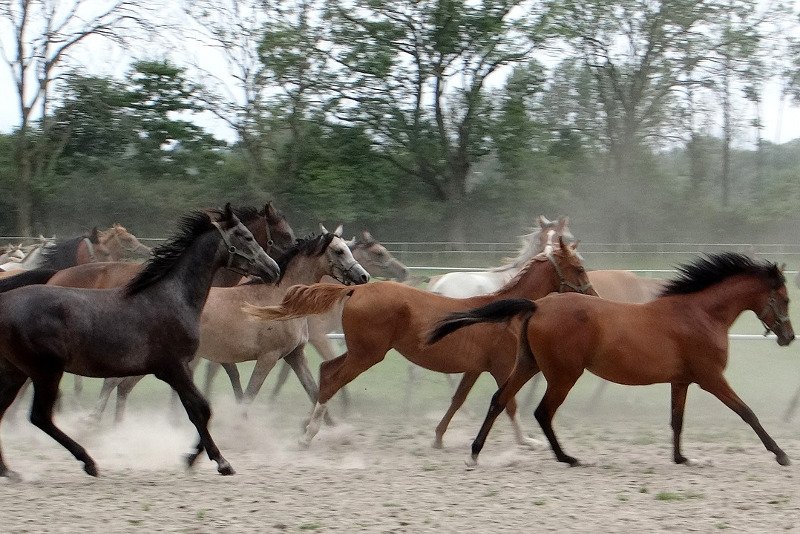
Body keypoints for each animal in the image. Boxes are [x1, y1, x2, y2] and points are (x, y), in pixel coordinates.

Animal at [0, 205, 282, 482]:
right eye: (247, 237)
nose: (275, 269)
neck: (172, 298)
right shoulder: (175, 368)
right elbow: (201, 410)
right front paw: (218, 461)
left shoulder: (174, 371)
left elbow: (198, 410)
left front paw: (192, 457)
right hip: (45, 372)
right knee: (40, 417)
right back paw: (88, 462)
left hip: (17, 371)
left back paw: (9, 470)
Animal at [242, 237, 592, 450]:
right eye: (578, 267)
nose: (593, 294)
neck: (504, 311)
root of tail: (355, 289)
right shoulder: (502, 365)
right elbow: (508, 402)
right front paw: (527, 442)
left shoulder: (475, 368)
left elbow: (458, 400)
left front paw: (438, 437)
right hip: (367, 354)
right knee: (332, 378)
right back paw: (309, 435)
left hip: (360, 353)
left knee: (326, 371)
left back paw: (310, 427)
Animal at [428, 255, 792, 468]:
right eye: (786, 298)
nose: (788, 337)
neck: (699, 315)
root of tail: (539, 305)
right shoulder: (711, 378)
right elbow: (747, 412)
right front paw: (781, 454)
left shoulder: (681, 380)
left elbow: (677, 419)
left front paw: (680, 458)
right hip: (563, 375)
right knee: (542, 412)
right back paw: (567, 458)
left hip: (528, 365)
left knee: (499, 399)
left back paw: (475, 453)